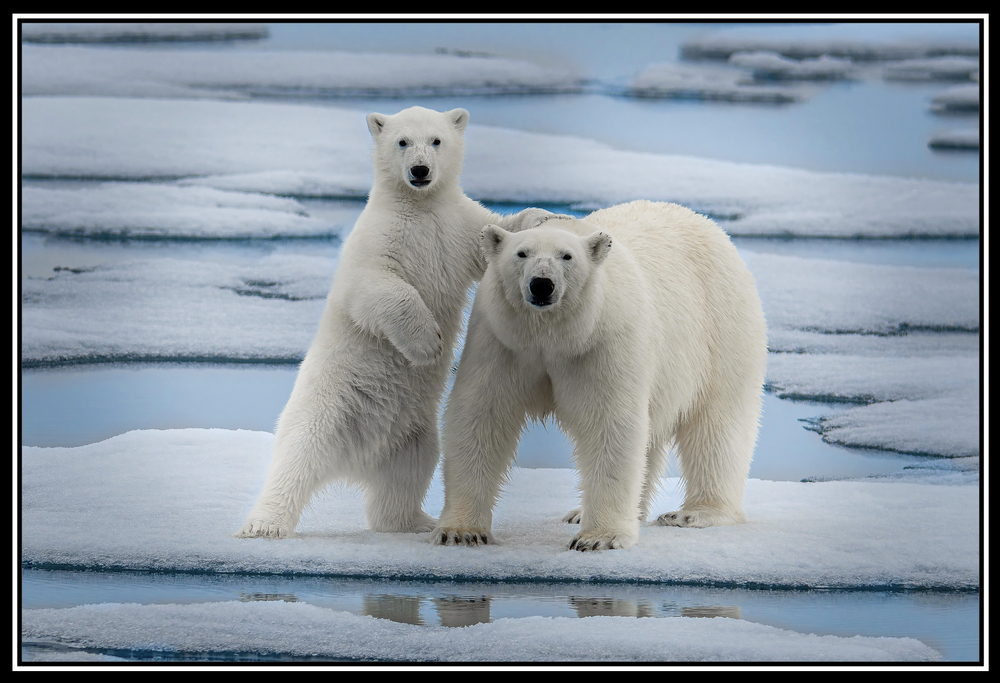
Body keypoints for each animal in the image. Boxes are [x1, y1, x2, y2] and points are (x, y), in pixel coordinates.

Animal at [238, 107, 560, 540]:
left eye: (437, 140)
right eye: (403, 141)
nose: (420, 170)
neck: (420, 206)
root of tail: (355, 459)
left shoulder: (454, 228)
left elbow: (490, 236)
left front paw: (541, 215)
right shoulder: (382, 239)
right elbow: (376, 286)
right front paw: (430, 344)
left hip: (412, 432)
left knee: (409, 471)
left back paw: (415, 520)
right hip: (326, 408)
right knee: (296, 458)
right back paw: (264, 524)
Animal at [434, 202, 768, 552]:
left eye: (567, 256)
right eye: (521, 253)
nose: (542, 284)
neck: (552, 338)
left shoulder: (602, 341)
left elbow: (609, 422)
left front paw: (598, 538)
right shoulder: (500, 342)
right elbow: (481, 416)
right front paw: (461, 532)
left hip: (721, 327)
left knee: (717, 427)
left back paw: (694, 513)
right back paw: (585, 512)